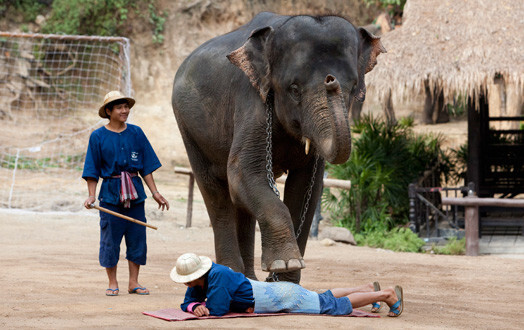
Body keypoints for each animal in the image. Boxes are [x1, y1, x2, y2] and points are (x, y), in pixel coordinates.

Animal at [172, 11, 384, 282]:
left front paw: (285, 279)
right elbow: (242, 172)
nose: (330, 80)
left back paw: (249, 278)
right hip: (188, 128)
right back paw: (232, 272)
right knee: (216, 193)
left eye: (355, 88)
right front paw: (285, 263)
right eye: (294, 89)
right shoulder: (252, 99)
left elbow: (307, 187)